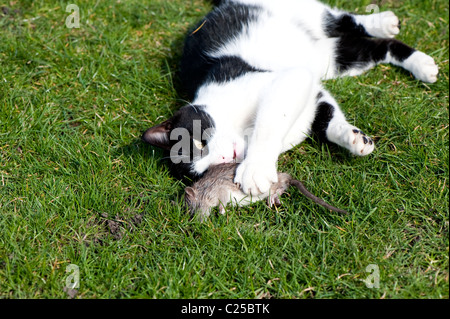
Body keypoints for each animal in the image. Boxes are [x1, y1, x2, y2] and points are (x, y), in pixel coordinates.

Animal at [142, 0, 440, 196]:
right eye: (203, 171)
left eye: (198, 142)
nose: (226, 156)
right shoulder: (312, 92)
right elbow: (327, 120)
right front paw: (354, 139)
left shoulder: (285, 79)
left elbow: (270, 119)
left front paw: (254, 170)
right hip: (331, 59)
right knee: (371, 48)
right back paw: (418, 61)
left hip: (304, 11)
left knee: (343, 19)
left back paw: (386, 24)